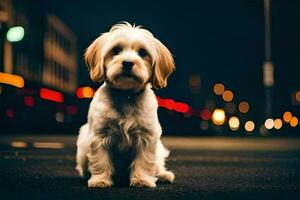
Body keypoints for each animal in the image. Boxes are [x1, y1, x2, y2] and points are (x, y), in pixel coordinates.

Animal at [75, 22, 176, 188]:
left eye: (142, 52)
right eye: (116, 50)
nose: (128, 63)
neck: (126, 95)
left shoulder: (147, 137)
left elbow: (144, 161)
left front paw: (142, 179)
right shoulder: (99, 136)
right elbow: (100, 161)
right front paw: (100, 180)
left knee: (157, 166)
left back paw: (162, 175)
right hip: (83, 143)